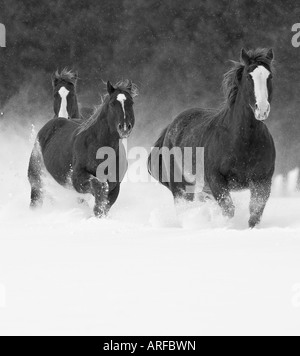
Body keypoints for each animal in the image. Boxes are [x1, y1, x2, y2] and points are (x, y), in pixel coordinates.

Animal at [28, 80, 139, 217]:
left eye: (131, 103)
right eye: (112, 103)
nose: (124, 127)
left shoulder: (115, 187)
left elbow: (104, 205)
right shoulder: (77, 179)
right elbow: (99, 186)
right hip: (36, 178)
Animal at [148, 48, 276, 228]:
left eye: (269, 76)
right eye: (248, 77)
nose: (262, 109)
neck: (243, 141)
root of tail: (170, 127)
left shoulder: (263, 181)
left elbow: (255, 213)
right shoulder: (217, 180)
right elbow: (228, 209)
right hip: (182, 186)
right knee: (184, 208)